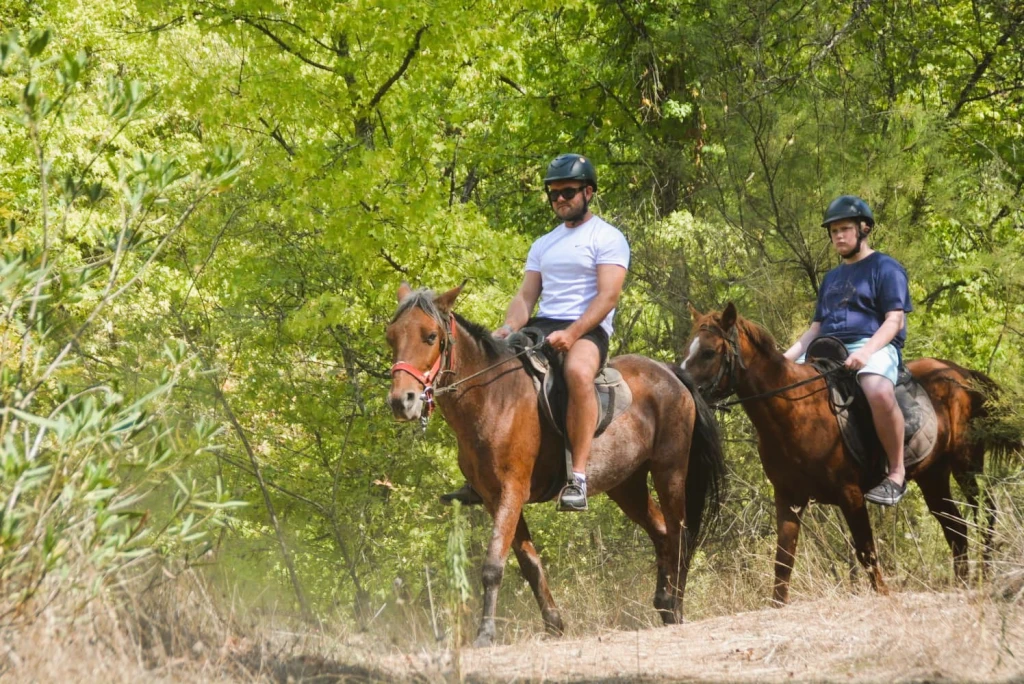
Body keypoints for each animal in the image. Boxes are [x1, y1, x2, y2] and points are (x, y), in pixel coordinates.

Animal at [386, 282, 725, 646]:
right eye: (391, 337)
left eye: (430, 336)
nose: (401, 401)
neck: (494, 398)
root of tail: (670, 373)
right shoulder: (494, 498)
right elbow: (529, 563)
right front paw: (553, 625)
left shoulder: (511, 492)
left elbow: (493, 566)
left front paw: (485, 634)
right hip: (627, 484)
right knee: (661, 533)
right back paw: (663, 604)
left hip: (669, 470)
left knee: (679, 536)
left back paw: (675, 606)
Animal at [682, 303, 1013, 605]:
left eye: (708, 352)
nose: (685, 387)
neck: (794, 409)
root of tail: (960, 372)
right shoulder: (788, 498)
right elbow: (783, 560)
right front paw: (777, 604)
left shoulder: (850, 494)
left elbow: (866, 551)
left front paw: (884, 594)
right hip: (934, 476)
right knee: (956, 528)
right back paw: (963, 582)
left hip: (966, 464)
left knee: (985, 512)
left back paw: (985, 571)